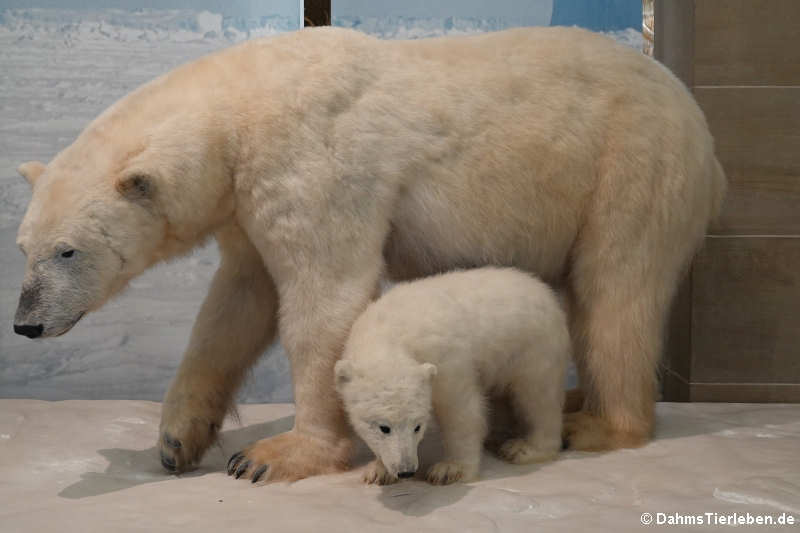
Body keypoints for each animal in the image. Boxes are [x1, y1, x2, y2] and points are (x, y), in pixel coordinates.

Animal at [12, 27, 724, 480]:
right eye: (23, 247)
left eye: (67, 252)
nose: (25, 323)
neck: (240, 109)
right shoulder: (246, 199)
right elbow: (235, 306)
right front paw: (175, 440)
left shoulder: (309, 163)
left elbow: (322, 299)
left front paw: (274, 455)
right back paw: (575, 403)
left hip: (631, 163)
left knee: (616, 289)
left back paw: (598, 424)